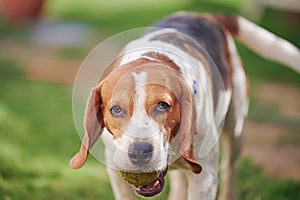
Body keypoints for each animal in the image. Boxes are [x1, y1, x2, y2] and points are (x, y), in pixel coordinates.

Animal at [69, 11, 298, 199]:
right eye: (116, 109)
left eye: (163, 105)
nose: (140, 152)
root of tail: (203, 15)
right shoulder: (116, 172)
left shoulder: (205, 178)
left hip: (236, 130)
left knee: (230, 169)